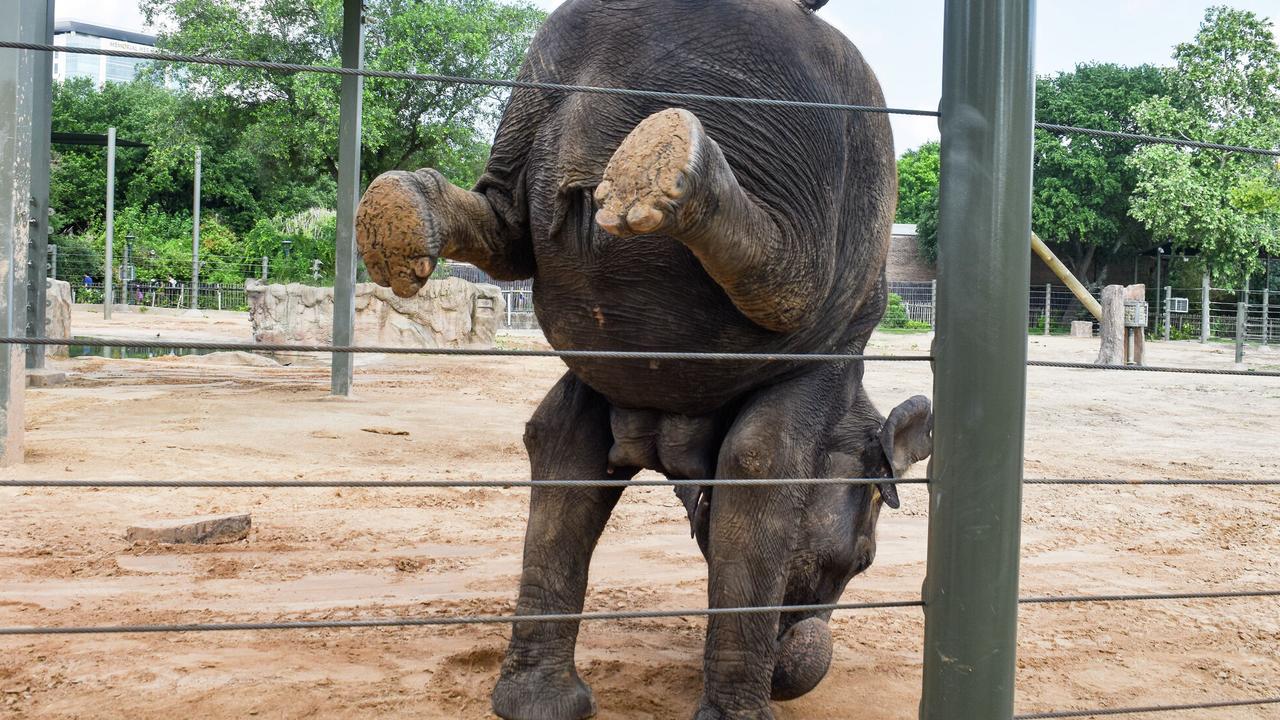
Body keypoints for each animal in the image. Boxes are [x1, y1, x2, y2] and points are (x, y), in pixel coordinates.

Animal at [355, 0, 936, 712]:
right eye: (863, 561)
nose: (791, 660)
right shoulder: (838, 351)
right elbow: (762, 463)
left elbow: (573, 458)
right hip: (805, 150)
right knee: (792, 283)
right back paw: (671, 166)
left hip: (540, 91)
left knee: (516, 255)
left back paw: (406, 213)